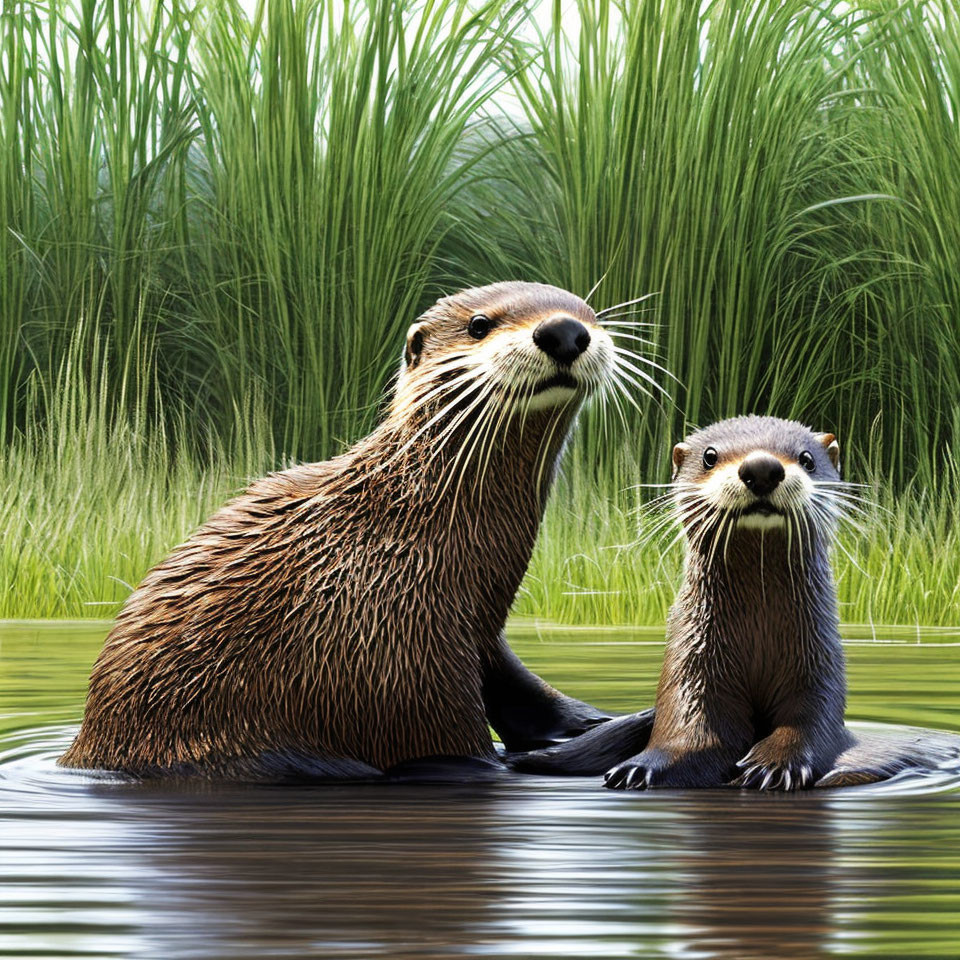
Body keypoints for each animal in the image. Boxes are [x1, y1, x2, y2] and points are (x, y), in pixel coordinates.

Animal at [60, 284, 636, 780]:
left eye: (588, 313)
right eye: (479, 325)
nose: (564, 331)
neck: (406, 529)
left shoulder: (476, 631)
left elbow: (528, 700)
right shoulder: (395, 666)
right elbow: (471, 754)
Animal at [510, 416, 960, 792]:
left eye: (807, 458)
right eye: (710, 456)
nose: (762, 468)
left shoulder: (816, 669)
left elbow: (810, 725)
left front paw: (774, 766)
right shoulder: (693, 671)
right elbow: (694, 736)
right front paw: (642, 767)